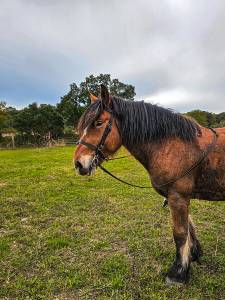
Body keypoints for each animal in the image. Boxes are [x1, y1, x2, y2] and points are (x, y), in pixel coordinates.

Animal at [74, 84, 225, 284]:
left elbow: (180, 233)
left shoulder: (178, 197)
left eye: (98, 123)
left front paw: (178, 272)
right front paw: (193, 255)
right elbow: (189, 228)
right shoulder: (180, 198)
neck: (171, 145)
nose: (78, 163)